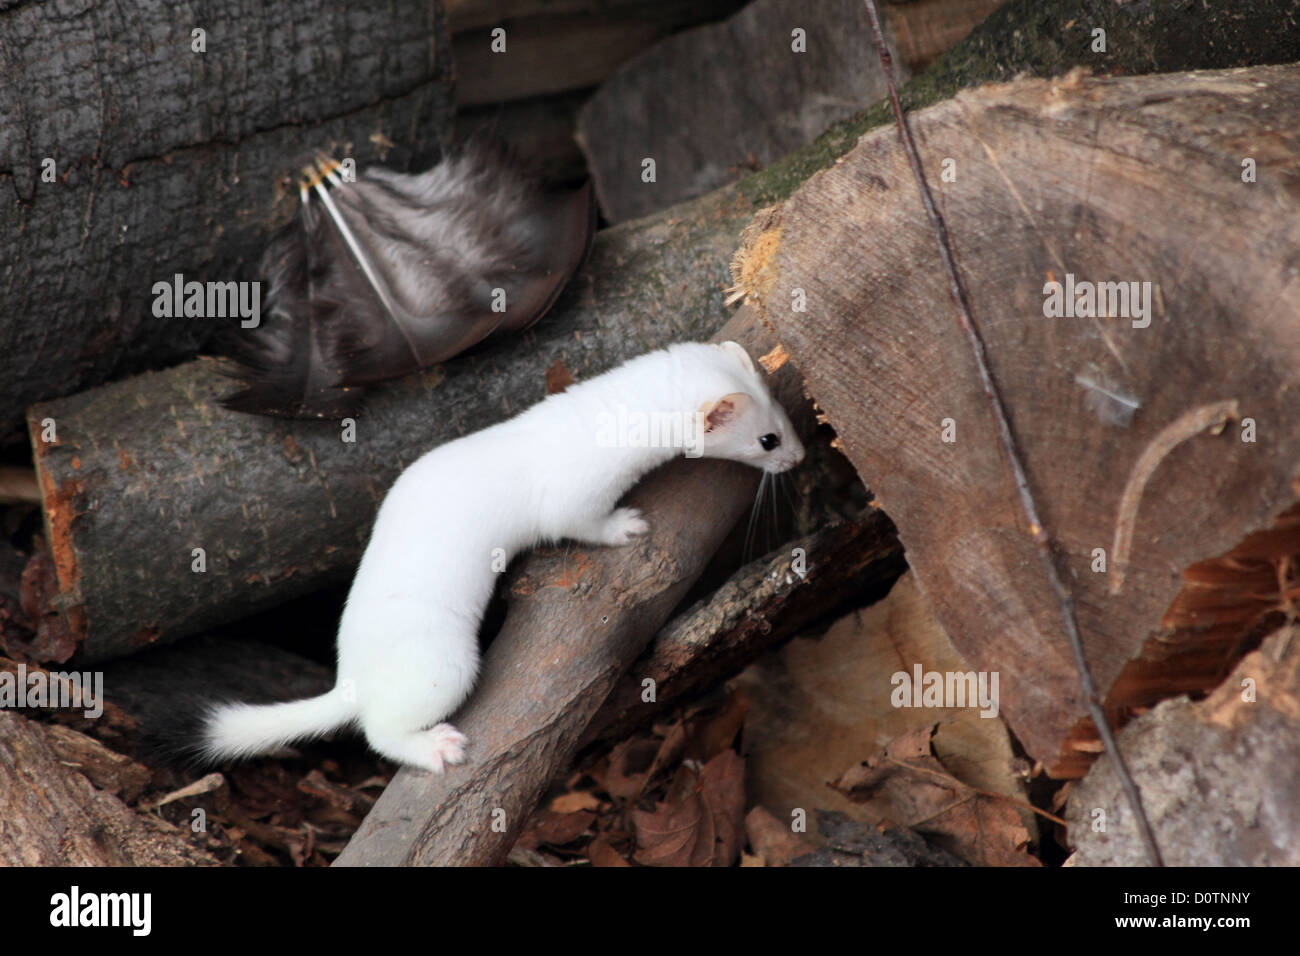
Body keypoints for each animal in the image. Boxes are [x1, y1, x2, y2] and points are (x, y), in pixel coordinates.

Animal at [197, 340, 800, 775]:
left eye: (784, 410)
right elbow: (577, 522)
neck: (595, 417)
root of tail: (351, 677)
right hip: (443, 664)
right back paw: (437, 749)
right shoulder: (573, 493)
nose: (798, 456)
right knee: (379, 731)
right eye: (768, 439)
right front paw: (626, 525)